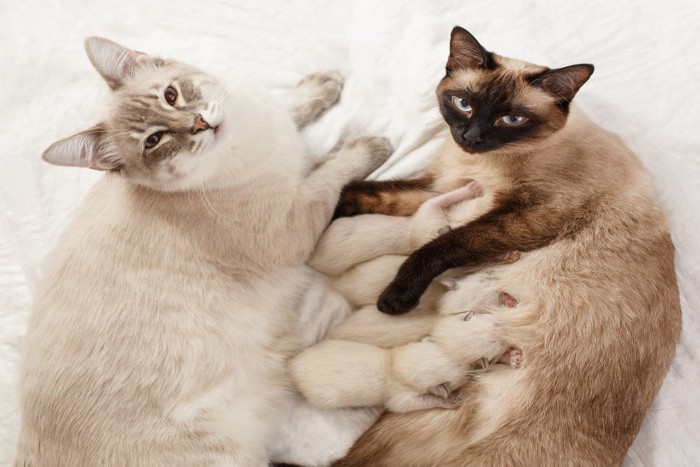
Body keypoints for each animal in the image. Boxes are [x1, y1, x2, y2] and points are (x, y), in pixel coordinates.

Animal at [15, 37, 394, 467]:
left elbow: (293, 109)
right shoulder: (296, 220)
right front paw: (366, 145)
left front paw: (321, 86)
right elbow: (331, 174)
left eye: (171, 95)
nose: (199, 124)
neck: (247, 141)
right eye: (154, 141)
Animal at [288, 27, 680, 466]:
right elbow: (358, 192)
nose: (471, 137)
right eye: (464, 104)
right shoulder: (439, 187)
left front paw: (395, 298)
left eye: (512, 119)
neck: (484, 164)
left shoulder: (529, 214)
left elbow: (442, 243)